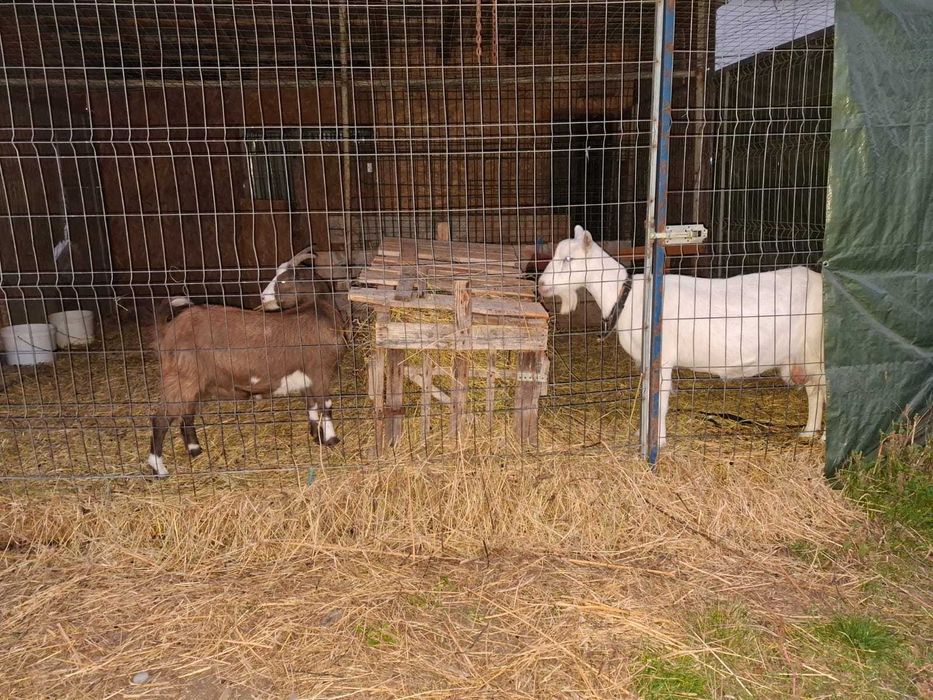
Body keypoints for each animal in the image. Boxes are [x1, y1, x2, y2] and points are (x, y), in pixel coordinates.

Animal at [147, 248, 348, 477]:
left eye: (284, 280)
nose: (262, 297)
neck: (316, 311)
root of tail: (168, 331)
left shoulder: (307, 377)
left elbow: (312, 406)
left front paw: (317, 437)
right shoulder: (320, 370)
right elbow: (326, 405)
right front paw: (332, 440)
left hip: (195, 384)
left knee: (186, 415)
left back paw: (195, 450)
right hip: (182, 378)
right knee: (160, 420)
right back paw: (158, 469)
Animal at [537, 225, 826, 446]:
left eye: (568, 260)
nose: (541, 284)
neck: (628, 296)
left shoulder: (662, 357)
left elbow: (660, 399)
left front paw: (658, 440)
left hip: (817, 348)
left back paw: (822, 439)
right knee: (814, 390)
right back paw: (809, 432)